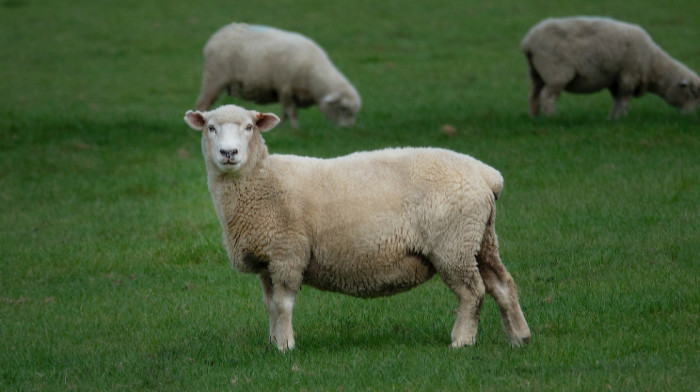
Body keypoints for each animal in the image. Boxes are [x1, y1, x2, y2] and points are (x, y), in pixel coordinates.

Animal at [182, 104, 532, 352]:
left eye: (249, 127)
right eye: (211, 127)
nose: (229, 153)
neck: (262, 181)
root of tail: (487, 175)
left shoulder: (288, 253)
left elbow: (283, 305)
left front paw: (285, 346)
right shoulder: (268, 260)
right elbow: (270, 306)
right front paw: (272, 342)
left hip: (453, 243)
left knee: (472, 292)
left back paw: (462, 340)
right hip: (481, 238)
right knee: (502, 285)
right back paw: (519, 337)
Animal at [196, 23, 360, 129]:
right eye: (343, 109)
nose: (347, 129)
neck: (313, 78)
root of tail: (216, 36)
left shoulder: (289, 92)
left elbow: (285, 113)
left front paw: (281, 127)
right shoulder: (285, 88)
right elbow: (291, 111)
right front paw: (295, 128)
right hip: (214, 77)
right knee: (202, 104)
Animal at [520, 16, 700, 118]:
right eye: (691, 93)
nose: (690, 116)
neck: (652, 64)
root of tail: (528, 42)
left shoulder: (616, 79)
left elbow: (617, 99)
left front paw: (613, 118)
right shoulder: (629, 75)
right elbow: (624, 99)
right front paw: (621, 117)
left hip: (536, 73)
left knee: (533, 96)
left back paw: (535, 117)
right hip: (555, 72)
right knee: (547, 97)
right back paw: (553, 117)